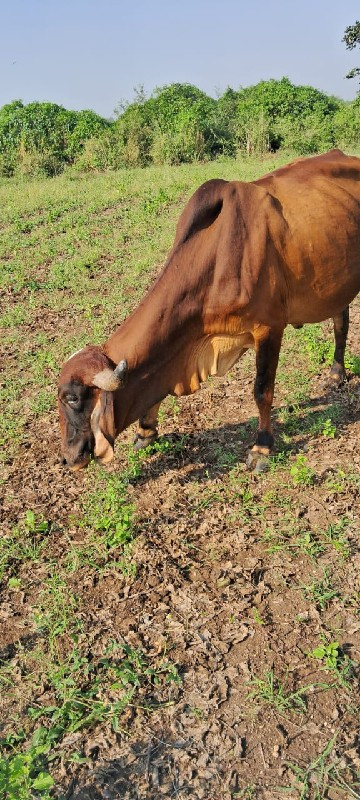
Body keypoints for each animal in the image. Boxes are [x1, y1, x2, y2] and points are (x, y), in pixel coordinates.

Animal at [57, 151, 358, 472]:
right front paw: (146, 431)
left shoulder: (269, 327)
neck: (217, 261)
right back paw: (336, 374)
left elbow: (262, 390)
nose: (68, 457)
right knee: (341, 323)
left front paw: (262, 447)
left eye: (73, 398)